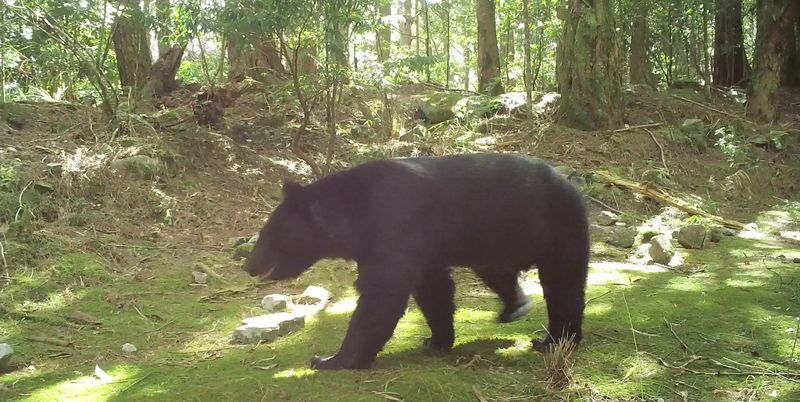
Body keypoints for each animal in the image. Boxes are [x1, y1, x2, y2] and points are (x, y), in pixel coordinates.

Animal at [245, 153, 590, 370]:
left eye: (267, 234)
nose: (248, 265)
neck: (354, 217)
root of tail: (572, 184)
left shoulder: (394, 228)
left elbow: (381, 296)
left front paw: (331, 359)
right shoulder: (422, 247)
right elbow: (433, 289)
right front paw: (436, 340)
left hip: (558, 229)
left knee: (563, 285)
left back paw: (553, 340)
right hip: (493, 239)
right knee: (499, 272)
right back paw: (515, 308)